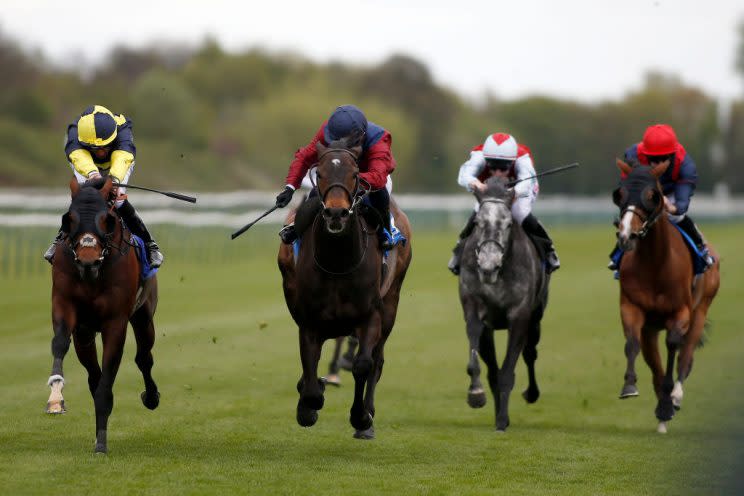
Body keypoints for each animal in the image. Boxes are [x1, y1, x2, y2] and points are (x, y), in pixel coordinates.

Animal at [45, 178, 160, 454]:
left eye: (107, 219)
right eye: (69, 218)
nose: (88, 260)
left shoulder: (115, 322)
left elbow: (108, 377)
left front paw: (101, 444)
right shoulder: (66, 306)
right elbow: (60, 343)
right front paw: (55, 397)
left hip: (144, 317)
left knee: (144, 358)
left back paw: (151, 397)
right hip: (85, 334)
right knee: (92, 375)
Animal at [276, 137, 412, 438]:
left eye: (355, 174)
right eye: (320, 173)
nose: (336, 212)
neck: (338, 260)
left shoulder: (370, 315)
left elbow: (364, 364)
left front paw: (361, 417)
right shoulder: (310, 320)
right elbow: (310, 368)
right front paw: (308, 405)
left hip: (392, 302)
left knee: (377, 359)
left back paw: (367, 417)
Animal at [456, 177, 548, 430]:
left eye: (508, 224)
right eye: (477, 223)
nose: (489, 265)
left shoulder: (519, 317)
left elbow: (508, 371)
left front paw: (502, 421)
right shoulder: (474, 308)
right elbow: (478, 360)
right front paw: (476, 394)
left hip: (536, 319)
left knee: (530, 353)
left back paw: (530, 394)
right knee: (493, 371)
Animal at [612, 160, 720, 434]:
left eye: (653, 195)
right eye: (619, 194)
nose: (626, 236)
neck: (656, 264)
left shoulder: (680, 312)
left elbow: (673, 345)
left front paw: (668, 402)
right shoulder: (632, 307)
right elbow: (632, 343)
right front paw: (630, 386)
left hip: (700, 311)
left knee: (685, 356)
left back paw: (675, 398)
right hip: (651, 328)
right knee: (655, 365)